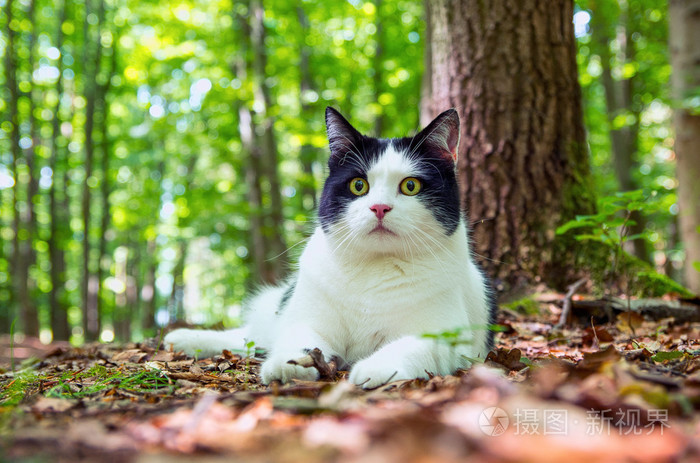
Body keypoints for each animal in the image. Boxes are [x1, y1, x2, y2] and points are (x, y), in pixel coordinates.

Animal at [164, 108, 494, 388]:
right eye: (359, 185)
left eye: (410, 186)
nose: (379, 207)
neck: (375, 269)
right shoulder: (307, 319)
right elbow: (300, 339)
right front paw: (290, 364)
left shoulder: (449, 336)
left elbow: (413, 345)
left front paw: (375, 368)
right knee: (251, 336)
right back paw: (181, 338)